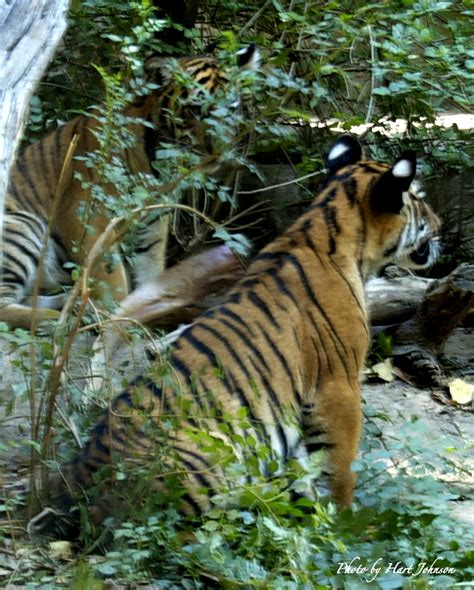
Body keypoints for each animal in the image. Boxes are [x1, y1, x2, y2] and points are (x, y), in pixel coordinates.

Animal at [0, 45, 260, 332]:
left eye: (231, 110)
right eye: (194, 110)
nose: (219, 151)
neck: (159, 159)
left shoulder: (153, 219)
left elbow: (150, 270)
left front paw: (145, 309)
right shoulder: (88, 216)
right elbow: (112, 280)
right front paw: (116, 320)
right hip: (23, 227)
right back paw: (56, 320)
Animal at [32, 136, 440, 540]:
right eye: (419, 199)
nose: (439, 224)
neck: (328, 224)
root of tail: (78, 480)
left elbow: (303, 467)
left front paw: (311, 512)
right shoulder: (338, 387)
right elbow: (339, 466)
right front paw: (346, 523)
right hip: (207, 457)